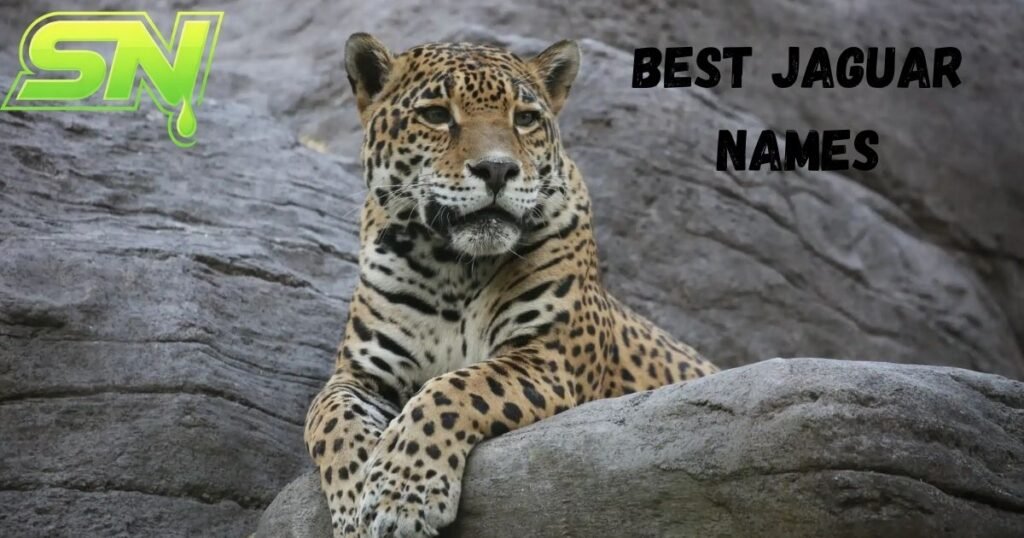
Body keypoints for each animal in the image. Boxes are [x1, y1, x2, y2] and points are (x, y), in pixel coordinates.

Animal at [304, 33, 718, 538]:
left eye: (524, 119)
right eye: (436, 115)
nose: (498, 170)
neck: (450, 267)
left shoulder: (548, 357)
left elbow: (453, 387)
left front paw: (401, 490)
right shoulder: (359, 373)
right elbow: (329, 419)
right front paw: (356, 503)